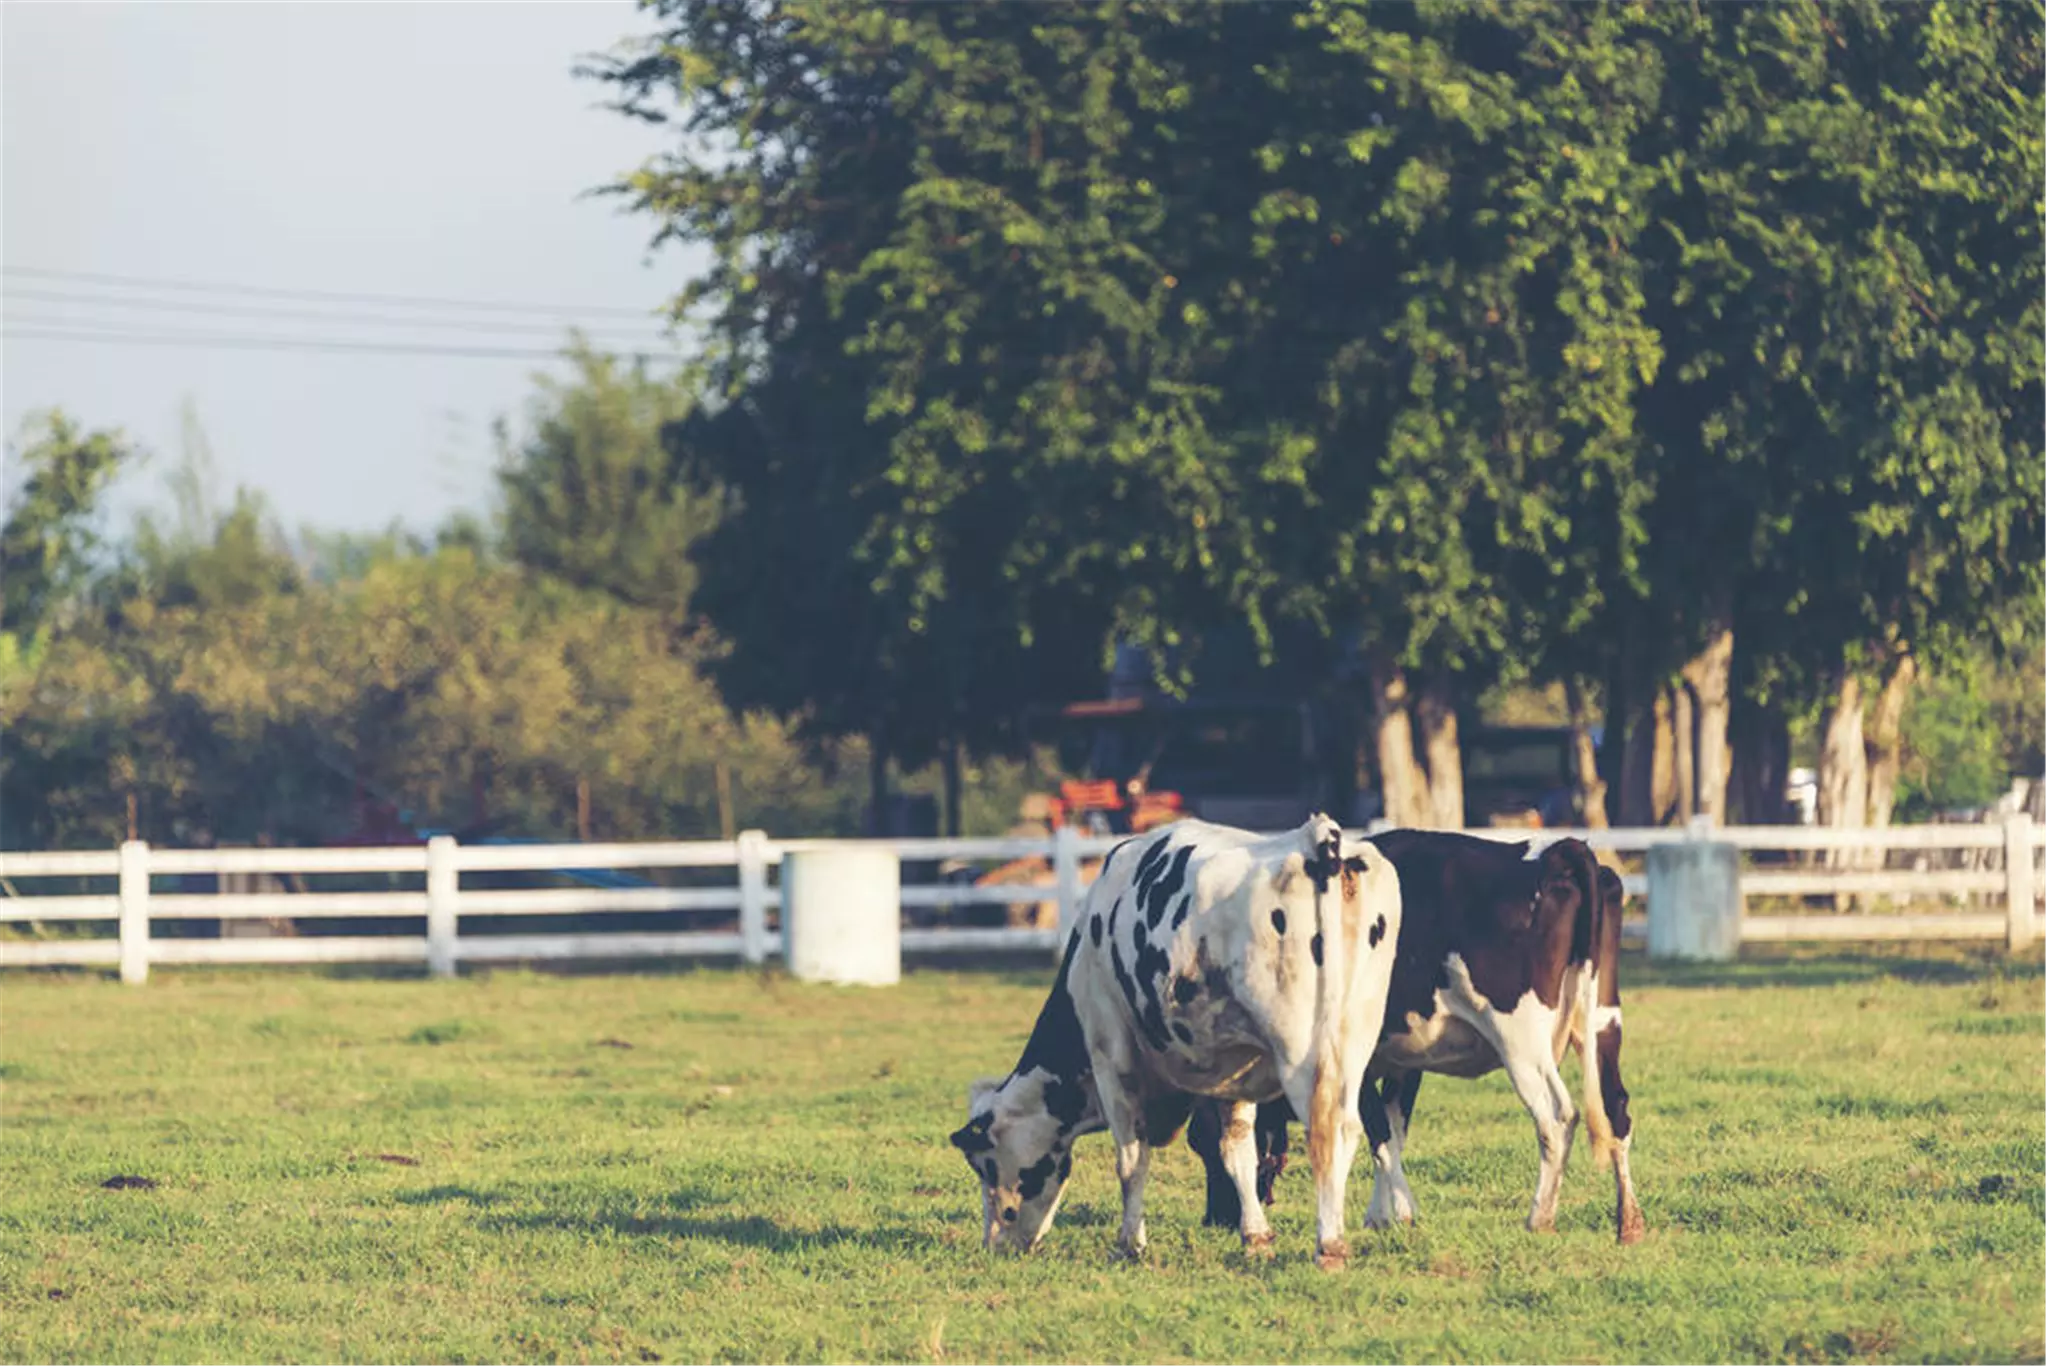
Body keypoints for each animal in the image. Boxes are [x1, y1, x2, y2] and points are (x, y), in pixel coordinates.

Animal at [945, 809, 1399, 1267]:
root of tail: (1317, 841)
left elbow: (1131, 1158)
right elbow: (1237, 1149)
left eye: (984, 1165)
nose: (995, 1243)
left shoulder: (1111, 1053)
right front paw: (1255, 1236)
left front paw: (1130, 1243)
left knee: (1324, 1130)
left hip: (1300, 1051)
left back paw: (1329, 1245)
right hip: (1353, 1040)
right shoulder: (1233, 1063)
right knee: (1350, 1127)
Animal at [1186, 826, 1644, 1243]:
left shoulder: (1356, 1063)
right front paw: (1381, 1214)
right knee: (1616, 1108)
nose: (1214, 1220)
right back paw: (1629, 1222)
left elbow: (1378, 1132)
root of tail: (1556, 852)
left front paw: (1401, 1213)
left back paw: (1540, 1218)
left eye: (1200, 1142)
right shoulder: (1401, 1061)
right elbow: (1393, 1129)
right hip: (1604, 1022)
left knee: (1556, 1115)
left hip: (1520, 1038)